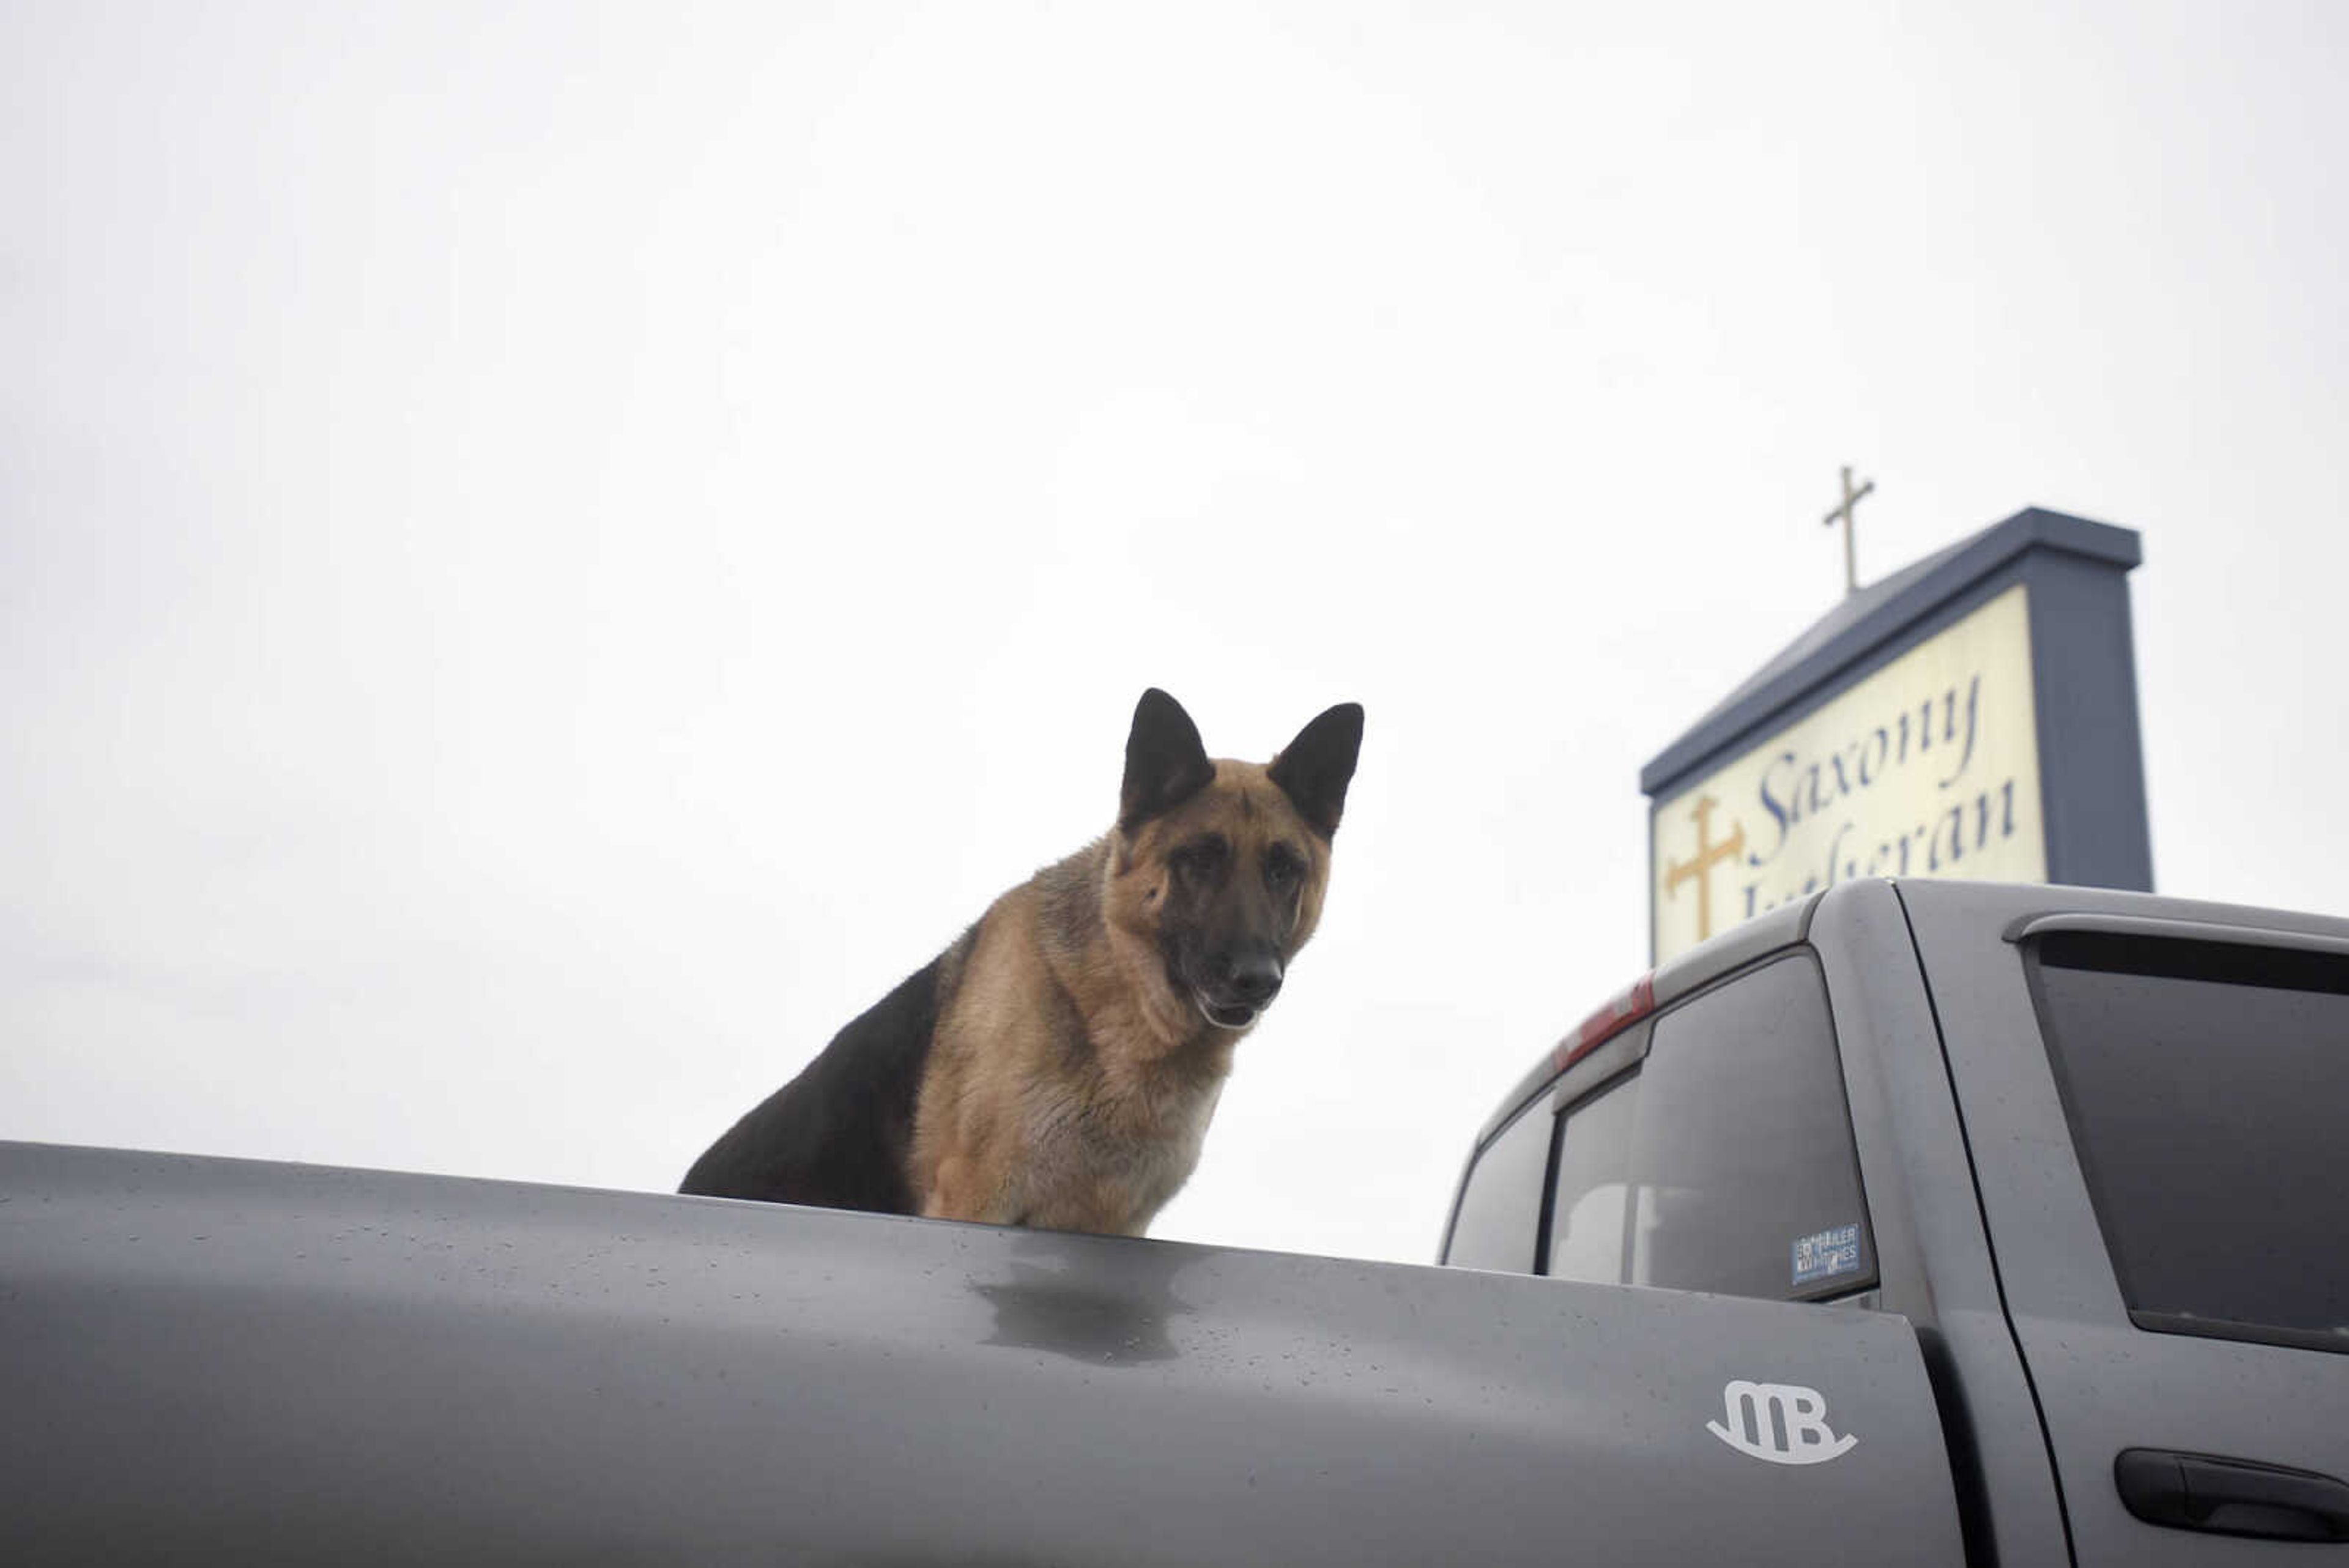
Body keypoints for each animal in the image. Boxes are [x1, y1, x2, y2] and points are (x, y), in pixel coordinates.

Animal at [681, 686, 1371, 1241]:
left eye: (1284, 869)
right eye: (1200, 859)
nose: (1257, 979)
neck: (1117, 1015)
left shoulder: (1117, 1225)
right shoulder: (977, 1198)